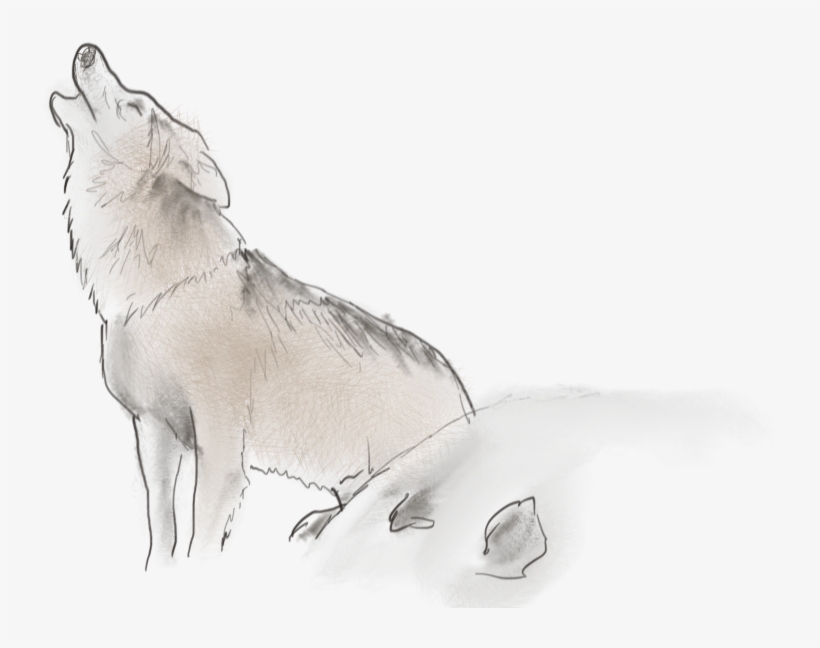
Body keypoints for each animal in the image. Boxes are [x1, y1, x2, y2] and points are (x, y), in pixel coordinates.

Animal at [50, 44, 478, 566]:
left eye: (134, 106)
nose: (87, 50)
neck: (162, 293)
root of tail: (471, 407)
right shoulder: (153, 433)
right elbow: (162, 527)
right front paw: (159, 572)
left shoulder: (220, 449)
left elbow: (202, 538)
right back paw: (315, 525)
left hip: (397, 476)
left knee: (398, 513)